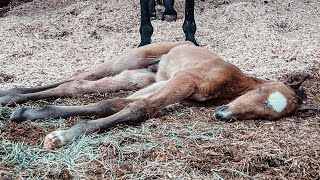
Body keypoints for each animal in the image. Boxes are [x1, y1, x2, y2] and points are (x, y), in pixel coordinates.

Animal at [1, 41, 308, 149]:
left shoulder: (173, 86)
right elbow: (138, 110)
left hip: (143, 76)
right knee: (79, 78)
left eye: (266, 116)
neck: (230, 85)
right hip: (131, 59)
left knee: (78, 86)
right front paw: (62, 137)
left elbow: (113, 104)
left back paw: (14, 101)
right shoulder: (185, 81)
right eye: (261, 92)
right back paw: (9, 96)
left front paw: (44, 123)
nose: (223, 115)